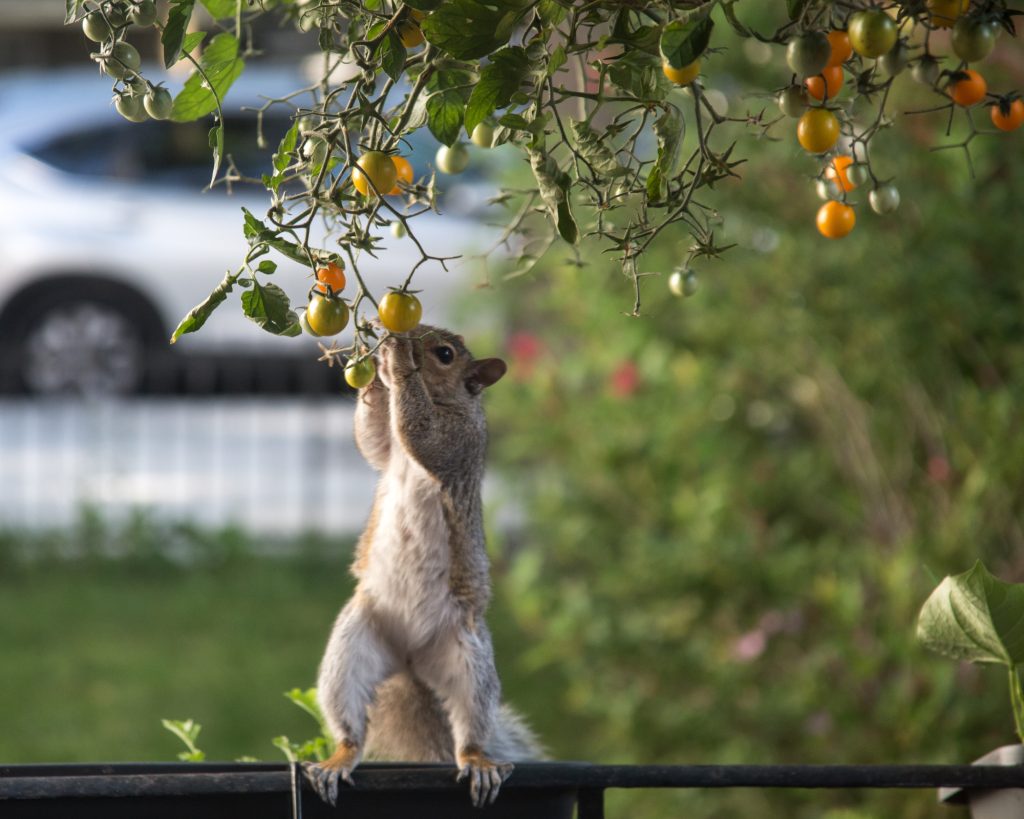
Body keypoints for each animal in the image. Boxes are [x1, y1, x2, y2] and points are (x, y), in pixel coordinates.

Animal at [303, 324, 540, 808]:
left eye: (445, 355)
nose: (402, 333)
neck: (449, 399)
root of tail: (411, 661)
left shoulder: (459, 439)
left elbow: (422, 433)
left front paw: (395, 359)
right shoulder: (387, 449)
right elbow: (371, 439)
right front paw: (370, 365)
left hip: (470, 663)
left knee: (469, 729)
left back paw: (479, 763)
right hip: (353, 648)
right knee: (349, 724)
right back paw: (338, 760)